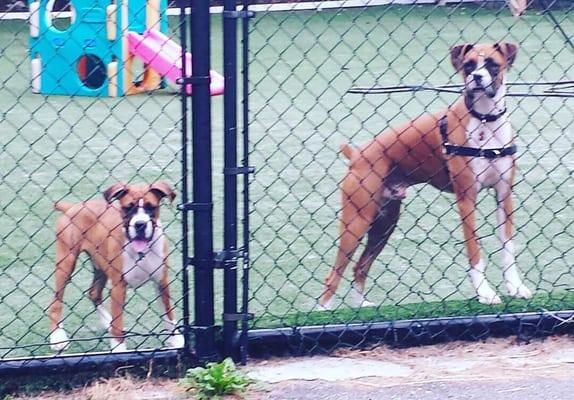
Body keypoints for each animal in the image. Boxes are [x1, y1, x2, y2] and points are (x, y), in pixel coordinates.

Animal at [50, 183, 184, 352]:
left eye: (151, 207)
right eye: (128, 208)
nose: (140, 224)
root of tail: (72, 207)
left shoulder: (161, 282)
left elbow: (169, 314)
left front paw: (177, 340)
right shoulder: (119, 286)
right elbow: (119, 320)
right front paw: (119, 348)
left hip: (100, 266)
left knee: (94, 294)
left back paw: (108, 323)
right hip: (66, 264)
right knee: (56, 300)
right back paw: (57, 337)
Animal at [320, 42, 536, 308]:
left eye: (493, 64)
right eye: (469, 65)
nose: (476, 77)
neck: (485, 120)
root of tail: (357, 153)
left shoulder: (504, 197)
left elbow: (508, 249)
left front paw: (515, 287)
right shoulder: (467, 200)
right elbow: (475, 252)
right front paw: (485, 293)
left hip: (384, 224)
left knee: (360, 267)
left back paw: (362, 307)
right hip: (357, 222)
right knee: (334, 275)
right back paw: (324, 311)